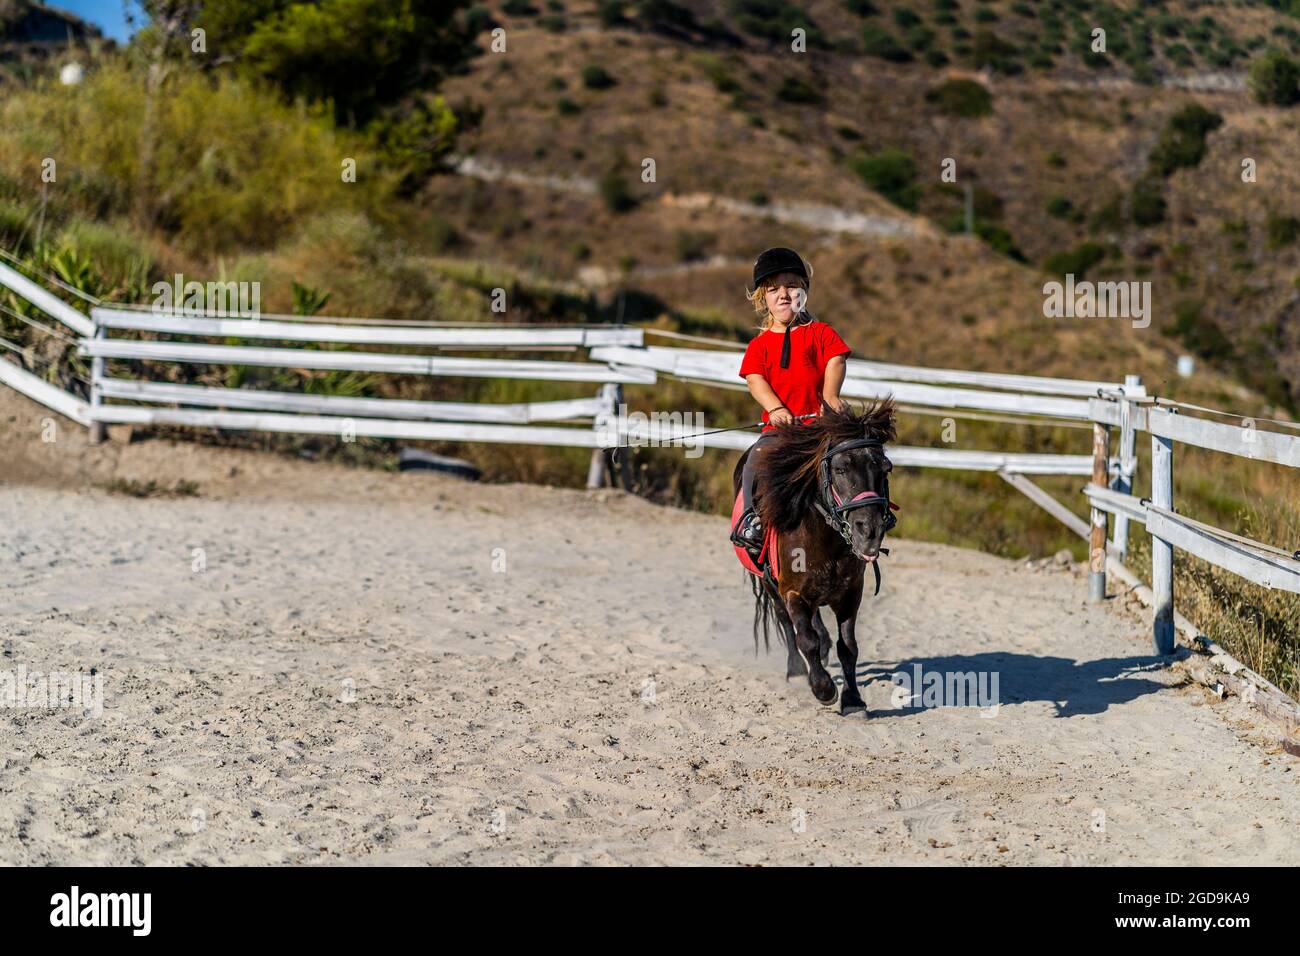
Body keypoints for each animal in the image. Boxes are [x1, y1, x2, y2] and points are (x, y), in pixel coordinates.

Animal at [731, 399, 898, 715]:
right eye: (841, 468)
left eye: (885, 468)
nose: (870, 531)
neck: (826, 541)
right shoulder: (792, 592)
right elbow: (805, 639)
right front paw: (823, 688)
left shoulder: (850, 594)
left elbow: (849, 647)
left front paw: (853, 699)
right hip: (771, 586)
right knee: (787, 623)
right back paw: (797, 670)